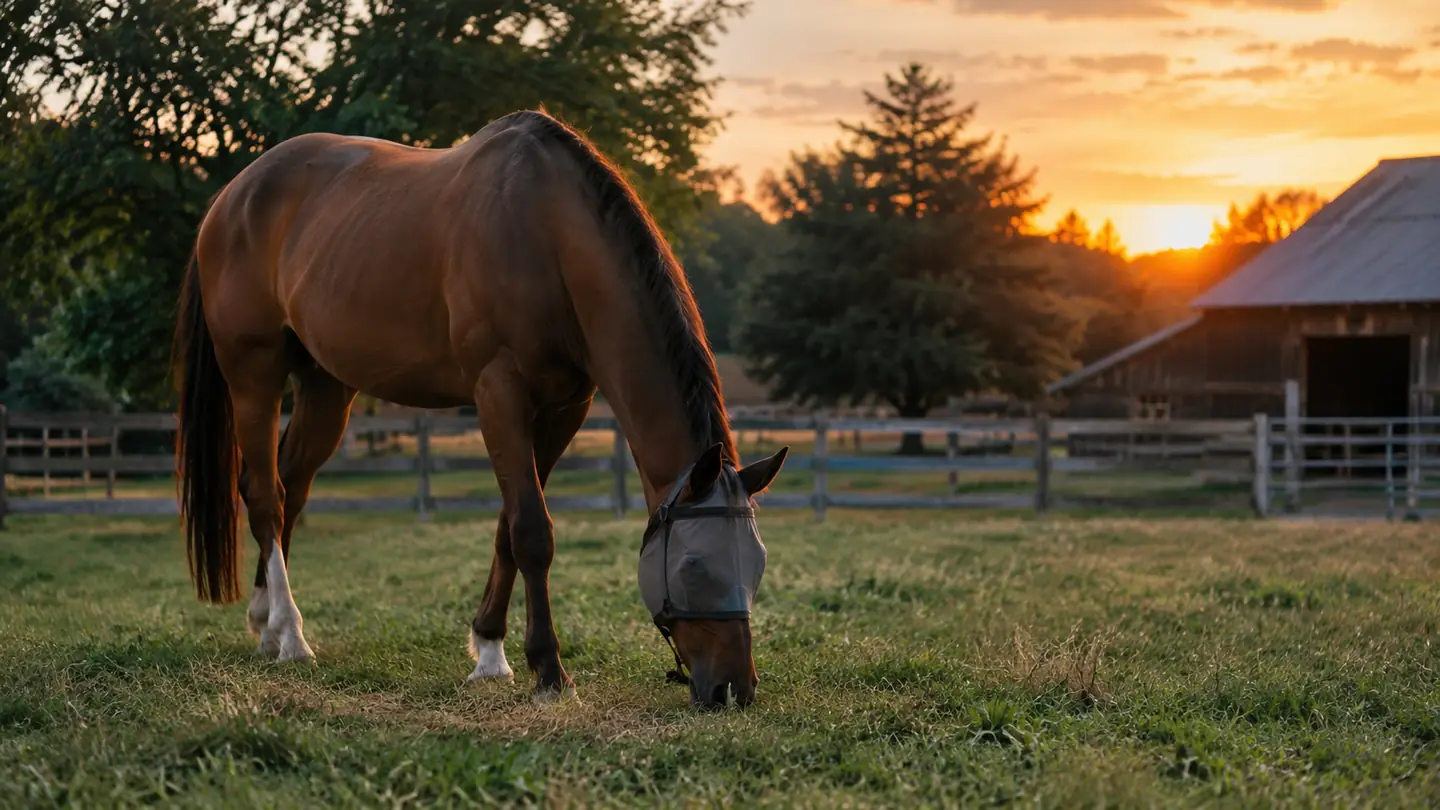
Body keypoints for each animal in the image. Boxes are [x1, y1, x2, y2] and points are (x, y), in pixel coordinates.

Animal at [171, 109, 789, 709]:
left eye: (758, 563)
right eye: (693, 564)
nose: (734, 689)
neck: (547, 233)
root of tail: (231, 197)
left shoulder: (564, 409)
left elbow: (507, 528)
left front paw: (490, 651)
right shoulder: (499, 392)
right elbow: (532, 530)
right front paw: (548, 670)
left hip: (326, 387)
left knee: (292, 488)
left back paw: (265, 623)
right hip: (254, 373)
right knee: (264, 495)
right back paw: (290, 634)